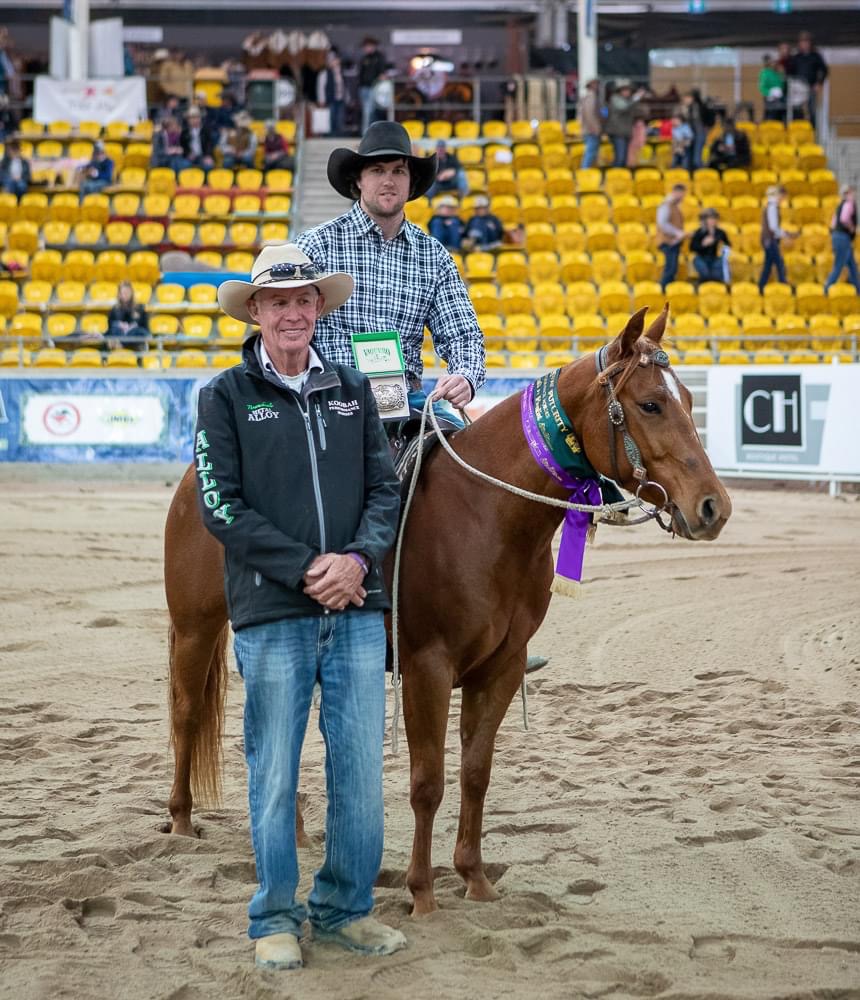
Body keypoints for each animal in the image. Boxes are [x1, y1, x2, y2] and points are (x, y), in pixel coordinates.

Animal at [164, 306, 731, 915]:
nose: (713, 507)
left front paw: (475, 879)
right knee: (187, 711)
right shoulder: (426, 668)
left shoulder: (502, 667)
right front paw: (422, 894)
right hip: (196, 627)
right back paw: (181, 822)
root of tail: (196, 475)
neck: (487, 516)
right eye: (650, 404)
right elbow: (427, 781)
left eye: (689, 400)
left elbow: (476, 772)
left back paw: (290, 833)